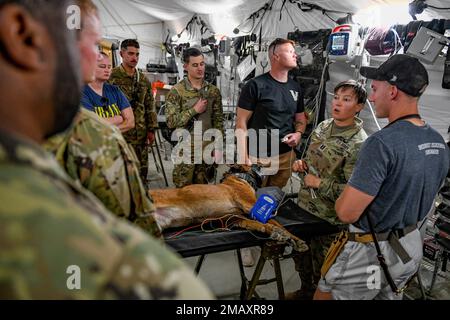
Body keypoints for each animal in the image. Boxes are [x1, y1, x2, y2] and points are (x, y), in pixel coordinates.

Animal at [149, 165, 308, 252]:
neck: (239, 176)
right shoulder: (251, 206)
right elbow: (277, 223)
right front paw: (296, 240)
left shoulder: (234, 219)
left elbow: (260, 224)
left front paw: (276, 233)